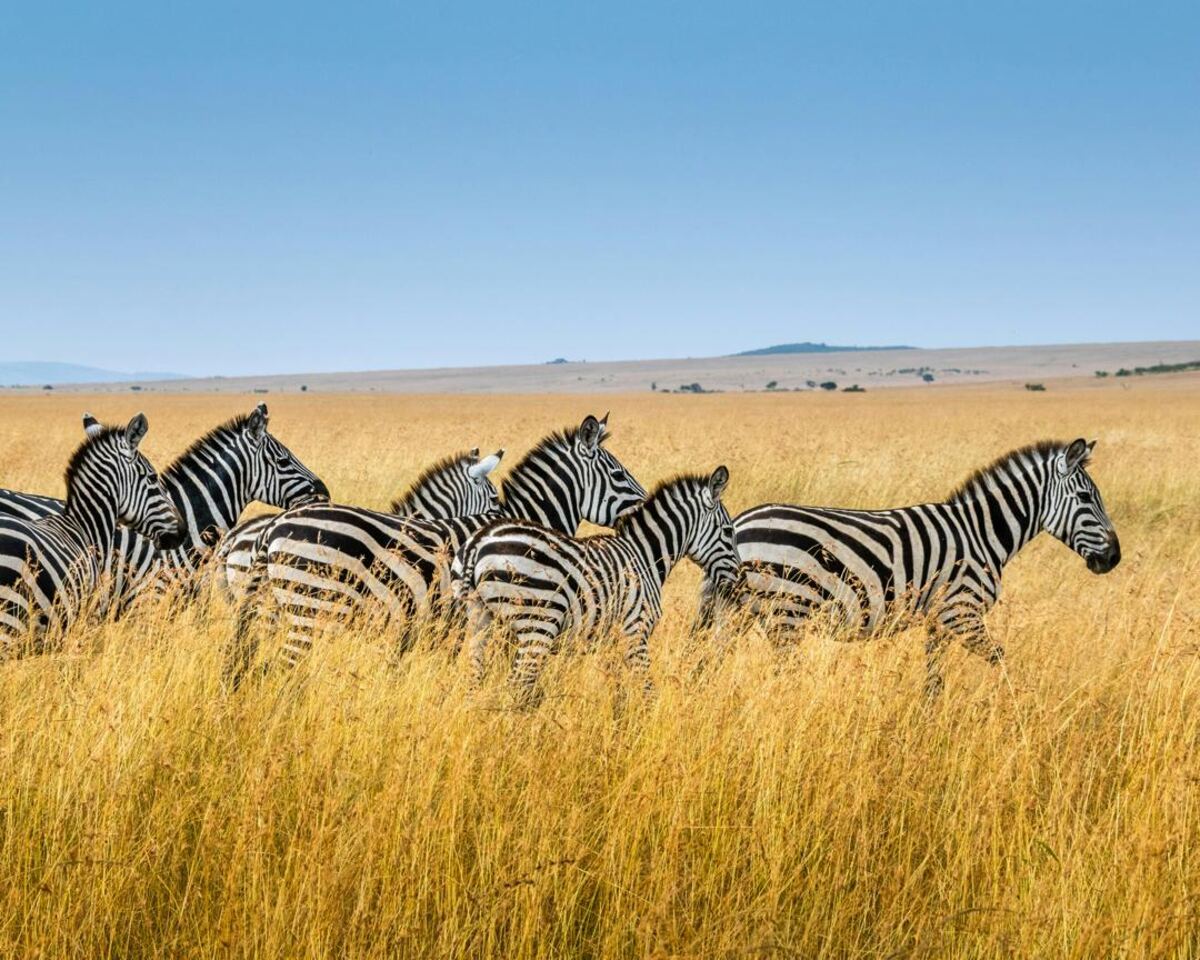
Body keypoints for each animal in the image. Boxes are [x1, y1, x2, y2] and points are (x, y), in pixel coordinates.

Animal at [456, 467, 738, 705]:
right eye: (727, 531)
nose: (737, 581)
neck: (645, 556)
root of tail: (478, 543)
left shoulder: (612, 639)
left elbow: (619, 690)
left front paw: (620, 723)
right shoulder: (635, 630)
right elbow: (647, 689)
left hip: (480, 619)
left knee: (474, 680)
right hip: (537, 624)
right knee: (517, 685)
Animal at [701, 439, 1121, 696]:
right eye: (1086, 498)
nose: (1114, 558)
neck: (982, 532)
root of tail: (739, 524)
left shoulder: (939, 620)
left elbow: (934, 680)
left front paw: (928, 724)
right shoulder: (961, 612)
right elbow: (1000, 660)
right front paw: (1015, 709)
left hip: (735, 614)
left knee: (708, 665)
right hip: (787, 612)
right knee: (779, 676)